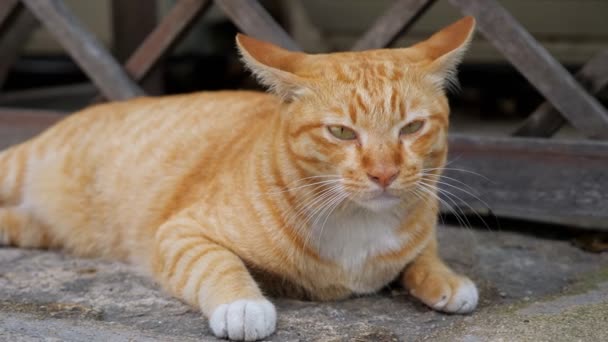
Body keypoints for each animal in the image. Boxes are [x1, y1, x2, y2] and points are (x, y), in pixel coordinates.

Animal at [1, 17, 480, 340]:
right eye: (342, 132)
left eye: (411, 128)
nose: (384, 173)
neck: (357, 223)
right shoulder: (181, 232)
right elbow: (218, 263)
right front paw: (244, 305)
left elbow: (423, 256)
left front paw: (448, 279)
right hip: (18, 167)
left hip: (45, 229)